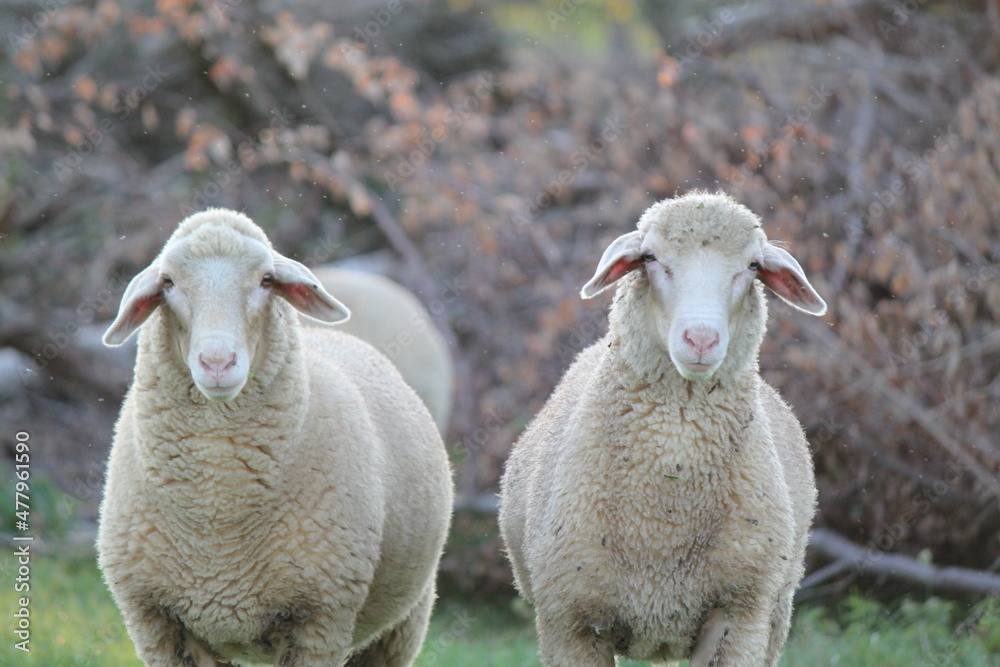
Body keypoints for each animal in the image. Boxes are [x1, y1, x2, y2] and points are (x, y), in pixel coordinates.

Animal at [498, 192, 827, 667]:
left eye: (751, 266)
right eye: (651, 257)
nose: (701, 339)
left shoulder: (740, 613)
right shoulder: (570, 621)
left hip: (776, 613)